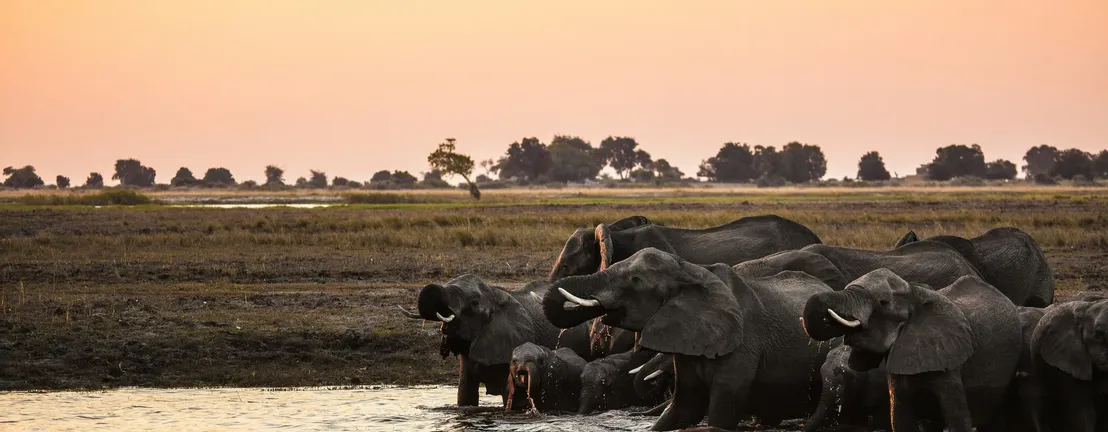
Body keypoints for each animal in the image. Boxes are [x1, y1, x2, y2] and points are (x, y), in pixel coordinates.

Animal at [802, 269, 1022, 432]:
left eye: (883, 302)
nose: (827, 316)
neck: (914, 292)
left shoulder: (949, 357)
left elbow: (956, 418)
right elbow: (900, 417)